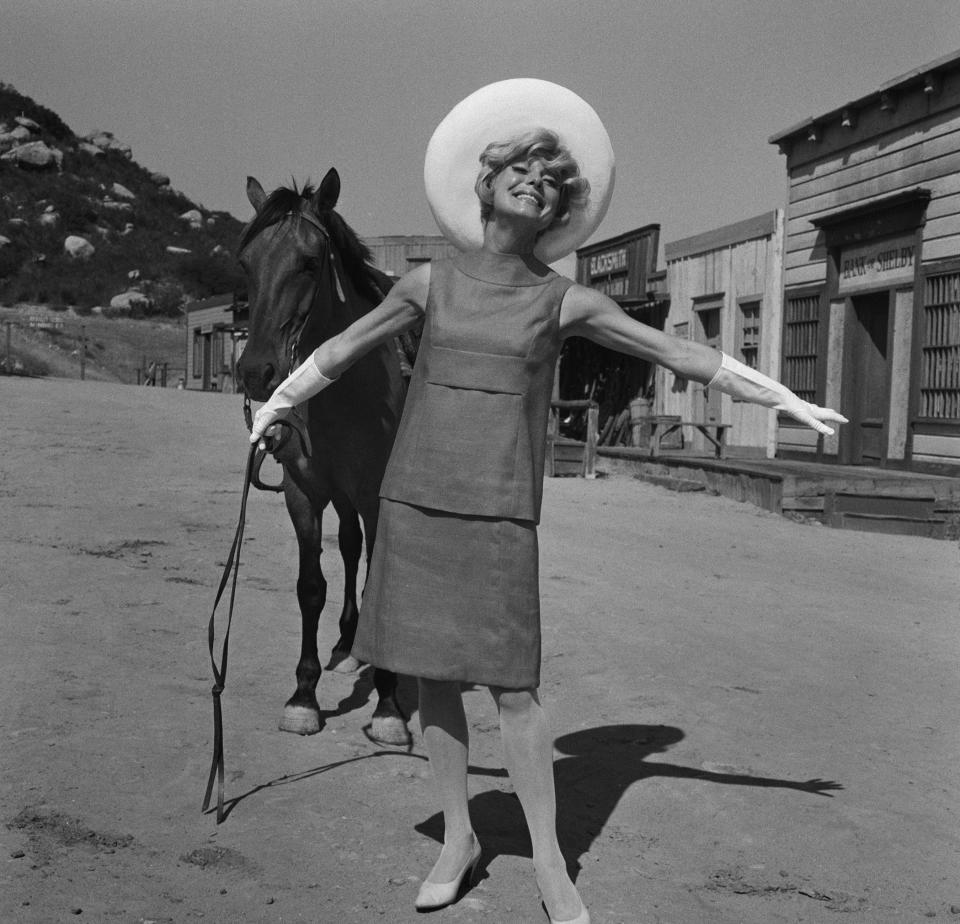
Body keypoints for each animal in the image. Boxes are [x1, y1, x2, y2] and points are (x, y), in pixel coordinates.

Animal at [236, 166, 412, 748]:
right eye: (246, 263)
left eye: (310, 262)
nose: (256, 371)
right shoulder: (304, 492)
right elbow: (311, 586)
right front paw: (303, 696)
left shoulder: (376, 496)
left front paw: (389, 706)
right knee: (351, 547)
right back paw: (345, 644)